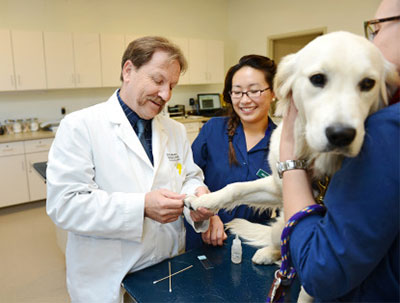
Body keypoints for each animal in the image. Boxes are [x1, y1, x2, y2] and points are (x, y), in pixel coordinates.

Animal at [186, 30, 398, 268]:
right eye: (317, 79)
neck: (313, 157)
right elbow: (236, 187)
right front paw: (203, 201)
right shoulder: (277, 186)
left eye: (368, 83)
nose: (341, 135)